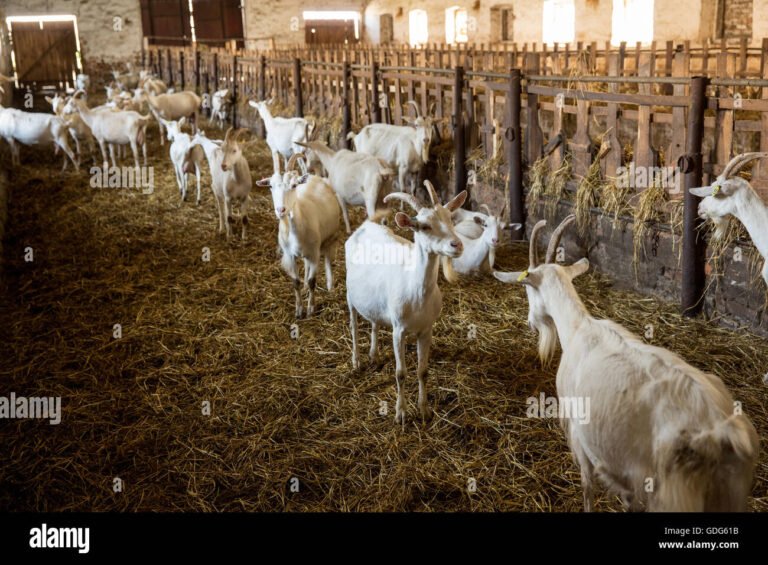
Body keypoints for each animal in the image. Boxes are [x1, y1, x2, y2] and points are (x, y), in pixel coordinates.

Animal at [256, 154, 341, 318]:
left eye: (294, 185)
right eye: (270, 186)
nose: (281, 210)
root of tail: (314, 177)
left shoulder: (314, 254)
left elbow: (312, 280)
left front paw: (310, 309)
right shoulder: (290, 255)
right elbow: (296, 282)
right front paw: (299, 311)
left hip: (330, 238)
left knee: (328, 259)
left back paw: (330, 287)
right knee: (306, 266)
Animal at [346, 181, 467, 425]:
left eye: (450, 219)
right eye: (424, 226)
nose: (456, 245)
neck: (416, 289)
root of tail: (365, 225)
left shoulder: (427, 330)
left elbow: (423, 371)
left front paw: (424, 410)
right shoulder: (398, 330)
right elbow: (400, 373)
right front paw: (401, 414)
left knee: (374, 321)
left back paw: (373, 355)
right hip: (348, 294)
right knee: (353, 325)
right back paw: (357, 362)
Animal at [493, 215, 759, 511]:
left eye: (527, 290)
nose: (529, 322)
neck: (579, 327)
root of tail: (722, 431)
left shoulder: (578, 433)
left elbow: (586, 485)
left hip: (673, 494)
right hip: (731, 491)